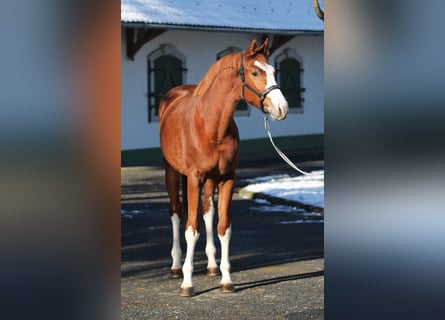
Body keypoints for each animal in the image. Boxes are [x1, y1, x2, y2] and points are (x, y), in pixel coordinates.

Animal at [159, 38, 288, 298]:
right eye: (255, 72)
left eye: (273, 70)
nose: (282, 108)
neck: (211, 125)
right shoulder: (194, 178)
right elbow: (191, 229)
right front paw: (187, 284)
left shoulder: (227, 178)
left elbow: (223, 227)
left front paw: (227, 280)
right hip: (173, 172)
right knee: (176, 212)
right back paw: (176, 267)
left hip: (210, 181)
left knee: (207, 212)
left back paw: (211, 266)